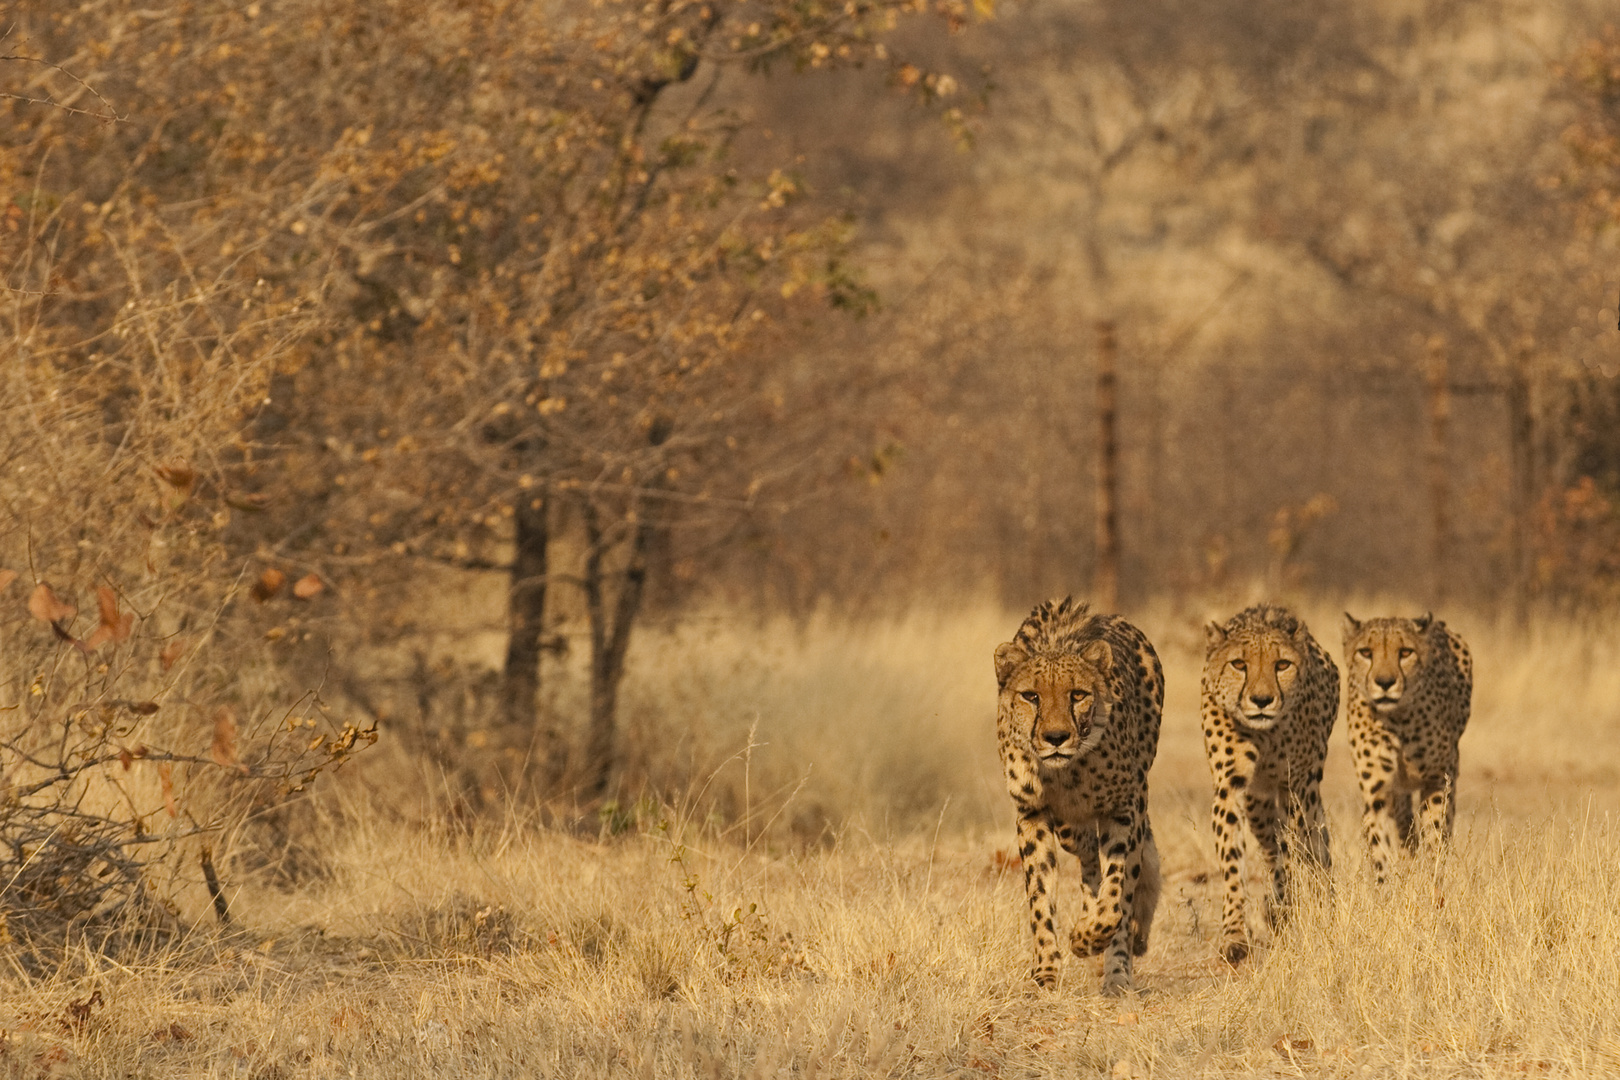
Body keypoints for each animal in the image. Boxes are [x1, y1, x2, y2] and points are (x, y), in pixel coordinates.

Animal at [984, 599, 1166, 997]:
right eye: (1031, 696)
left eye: (1078, 694)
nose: (1055, 737)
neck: (1067, 773)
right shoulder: (1032, 814)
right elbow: (1040, 898)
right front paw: (1046, 971)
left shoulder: (1122, 808)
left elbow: (1117, 895)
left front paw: (1091, 941)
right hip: (1070, 829)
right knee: (1088, 856)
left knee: (1134, 865)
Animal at [1205, 605, 1341, 965]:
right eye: (1239, 664)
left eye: (1282, 665)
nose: (1262, 700)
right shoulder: (1230, 786)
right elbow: (1233, 862)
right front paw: (1234, 935)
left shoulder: (1295, 787)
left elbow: (1296, 852)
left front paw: (1290, 909)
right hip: (1258, 805)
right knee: (1274, 848)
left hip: (1306, 794)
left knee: (1313, 849)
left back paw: (1318, 903)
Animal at [1341, 612, 1470, 880]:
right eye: (1366, 652)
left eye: (1405, 652)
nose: (1385, 682)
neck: (1398, 718)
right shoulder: (1376, 791)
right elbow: (1379, 848)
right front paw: (1386, 887)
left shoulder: (1436, 780)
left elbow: (1436, 838)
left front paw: (1433, 883)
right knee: (1404, 825)